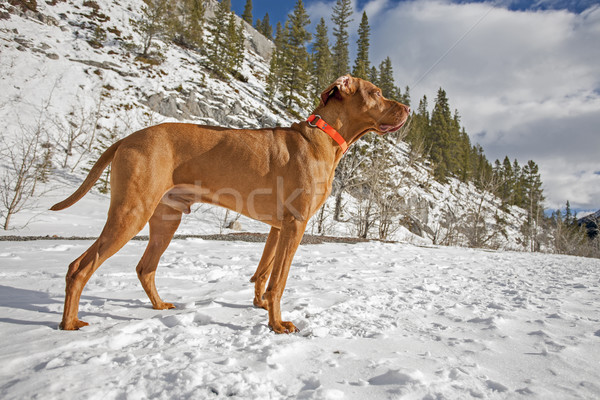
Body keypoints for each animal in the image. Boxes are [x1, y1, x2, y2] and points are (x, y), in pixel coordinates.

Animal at [51, 75, 410, 334]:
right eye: (377, 92)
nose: (408, 108)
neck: (322, 137)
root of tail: (127, 138)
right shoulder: (295, 224)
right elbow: (279, 281)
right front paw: (277, 325)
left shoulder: (278, 228)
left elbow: (264, 273)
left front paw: (261, 305)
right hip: (131, 213)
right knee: (78, 267)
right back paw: (68, 323)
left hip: (166, 219)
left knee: (145, 268)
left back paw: (159, 306)